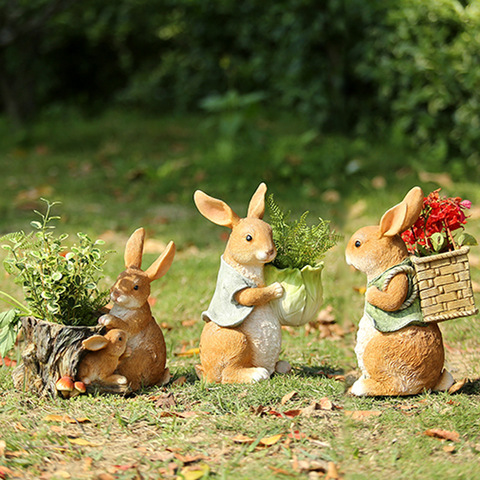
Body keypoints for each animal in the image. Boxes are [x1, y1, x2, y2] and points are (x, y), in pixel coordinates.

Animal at [344, 186, 454, 396]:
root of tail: (423, 385)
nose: (346, 255)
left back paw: (360, 387)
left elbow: (392, 300)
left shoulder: (398, 279)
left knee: (388, 386)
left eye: (357, 244)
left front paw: (370, 293)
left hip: (376, 352)